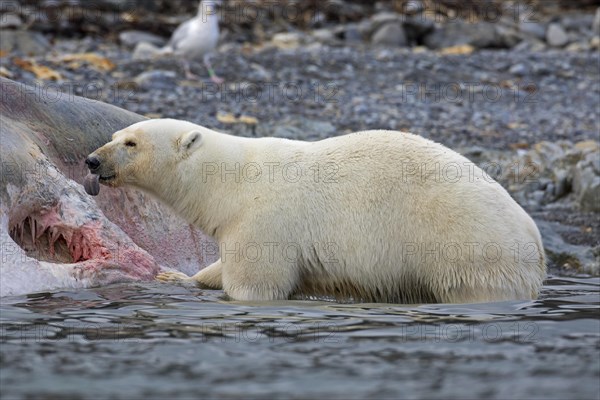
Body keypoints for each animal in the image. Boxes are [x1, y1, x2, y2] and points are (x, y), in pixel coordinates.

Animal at [86, 119, 548, 304]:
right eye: (116, 134)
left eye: (130, 142)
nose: (92, 161)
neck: (231, 182)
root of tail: (533, 234)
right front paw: (173, 276)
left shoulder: (264, 221)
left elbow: (255, 282)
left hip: (468, 248)